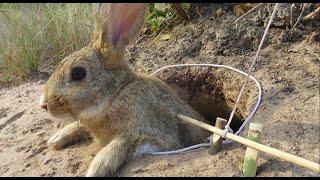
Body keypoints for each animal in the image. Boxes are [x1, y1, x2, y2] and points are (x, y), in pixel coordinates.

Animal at [39, 3, 210, 177]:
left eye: (78, 73)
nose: (44, 105)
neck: (116, 94)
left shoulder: (149, 133)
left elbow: (120, 145)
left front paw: (95, 169)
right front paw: (56, 138)